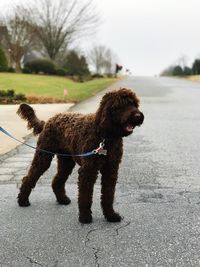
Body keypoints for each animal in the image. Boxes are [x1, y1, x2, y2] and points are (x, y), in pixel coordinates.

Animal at [16, 88, 144, 224]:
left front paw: (111, 215)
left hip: (66, 161)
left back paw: (62, 199)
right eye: (121, 105)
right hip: (43, 156)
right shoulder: (88, 170)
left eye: (134, 104)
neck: (105, 136)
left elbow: (108, 195)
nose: (138, 116)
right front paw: (85, 217)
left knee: (57, 180)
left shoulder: (111, 169)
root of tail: (48, 121)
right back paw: (23, 200)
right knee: (29, 177)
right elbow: (85, 195)